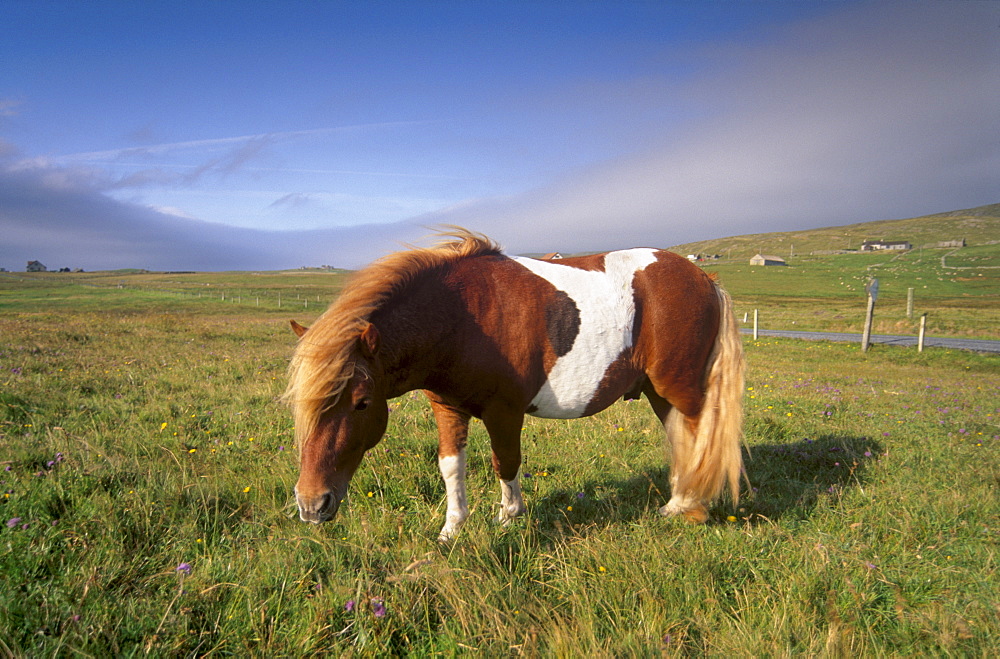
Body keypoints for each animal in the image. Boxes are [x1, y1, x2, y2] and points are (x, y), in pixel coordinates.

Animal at [284, 229, 744, 540]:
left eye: (362, 403)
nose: (312, 505)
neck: (462, 317)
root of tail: (704, 278)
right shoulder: (446, 406)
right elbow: (451, 466)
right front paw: (452, 530)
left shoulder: (504, 411)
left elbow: (505, 462)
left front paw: (508, 518)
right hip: (659, 391)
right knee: (681, 438)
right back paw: (677, 503)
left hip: (679, 389)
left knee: (699, 437)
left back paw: (693, 508)